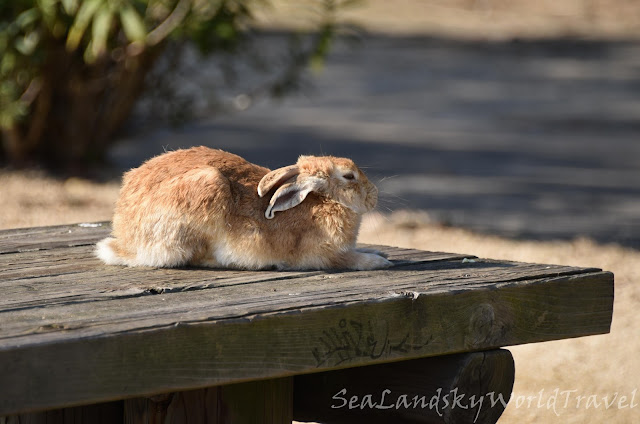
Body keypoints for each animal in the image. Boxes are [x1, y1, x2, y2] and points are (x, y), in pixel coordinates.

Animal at [95, 147, 392, 270]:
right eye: (349, 176)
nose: (373, 197)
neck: (321, 201)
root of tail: (125, 239)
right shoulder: (325, 257)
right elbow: (352, 260)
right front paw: (380, 261)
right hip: (206, 190)